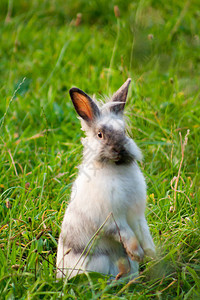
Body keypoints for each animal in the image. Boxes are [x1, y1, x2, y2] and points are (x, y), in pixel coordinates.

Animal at [56, 78, 155, 280]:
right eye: (100, 135)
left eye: (124, 132)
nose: (120, 149)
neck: (115, 170)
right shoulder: (112, 219)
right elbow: (127, 235)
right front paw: (138, 253)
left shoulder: (136, 215)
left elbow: (144, 231)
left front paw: (151, 252)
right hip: (99, 262)